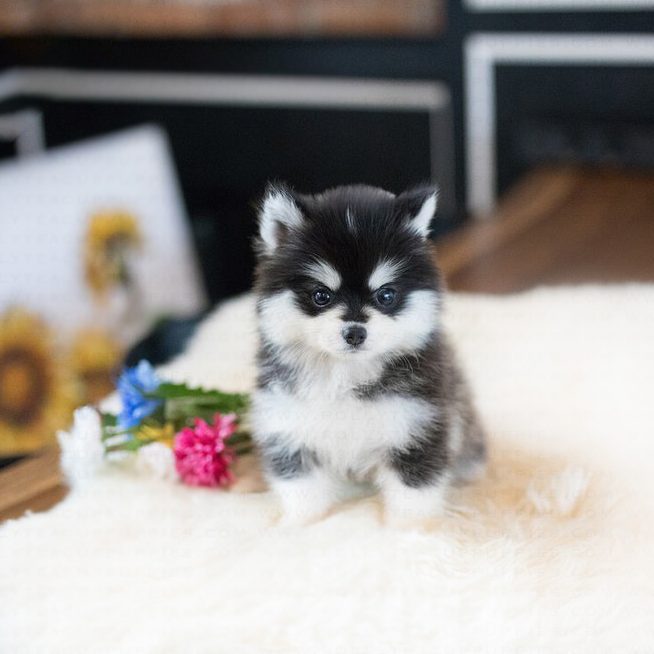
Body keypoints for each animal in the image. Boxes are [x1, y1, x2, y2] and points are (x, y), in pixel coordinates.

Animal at [251, 183, 486, 528]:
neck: (347, 374)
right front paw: (300, 524)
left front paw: (410, 530)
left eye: (385, 295)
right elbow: (302, 487)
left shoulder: (417, 425)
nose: (355, 333)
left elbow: (413, 490)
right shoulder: (288, 424)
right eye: (321, 295)